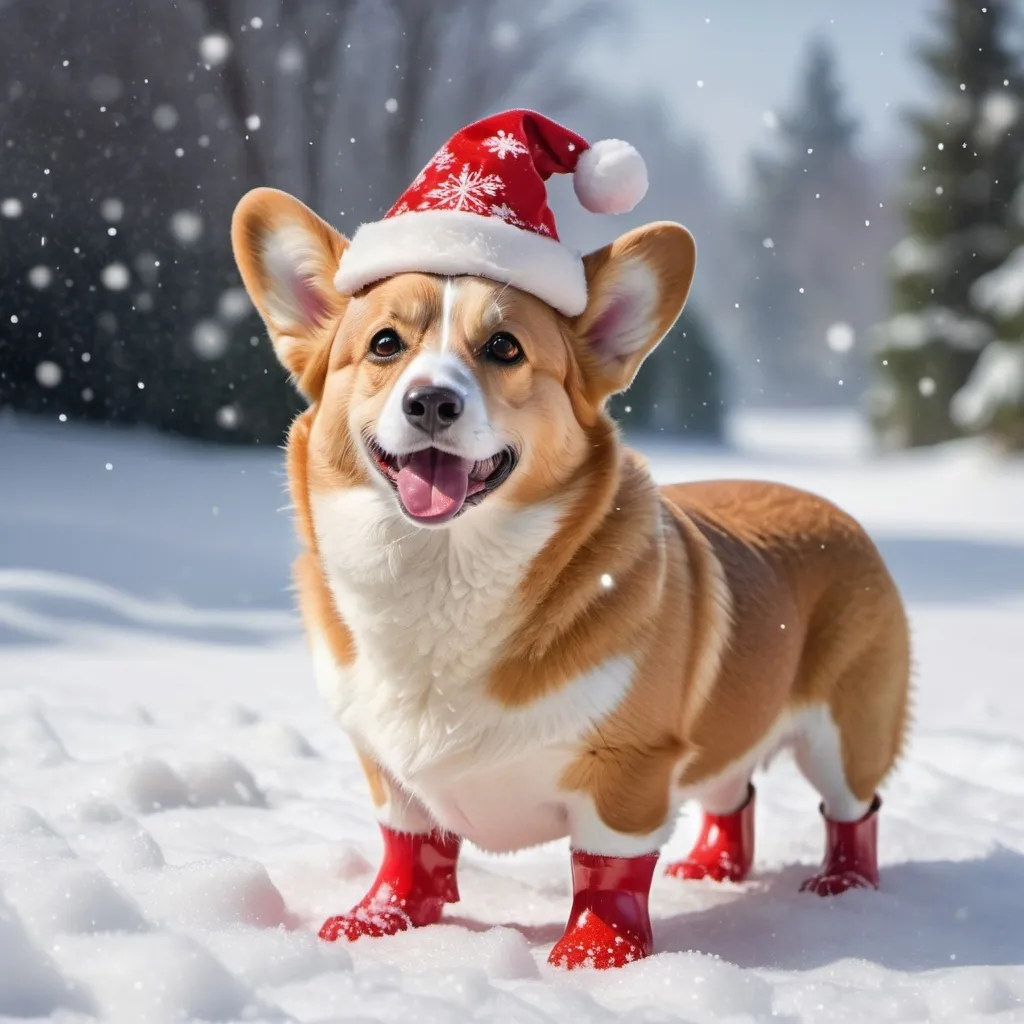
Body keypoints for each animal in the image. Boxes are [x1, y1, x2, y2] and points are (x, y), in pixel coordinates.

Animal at [228, 110, 909, 966]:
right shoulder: (389, 769)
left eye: (504, 349)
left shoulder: (630, 771)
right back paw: (712, 868)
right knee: (734, 792)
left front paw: (596, 955)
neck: (443, 575)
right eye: (385, 344)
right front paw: (381, 919)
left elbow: (609, 868)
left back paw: (842, 885)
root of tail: (832, 508)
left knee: (854, 810)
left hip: (843, 736)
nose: (431, 403)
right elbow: (410, 847)